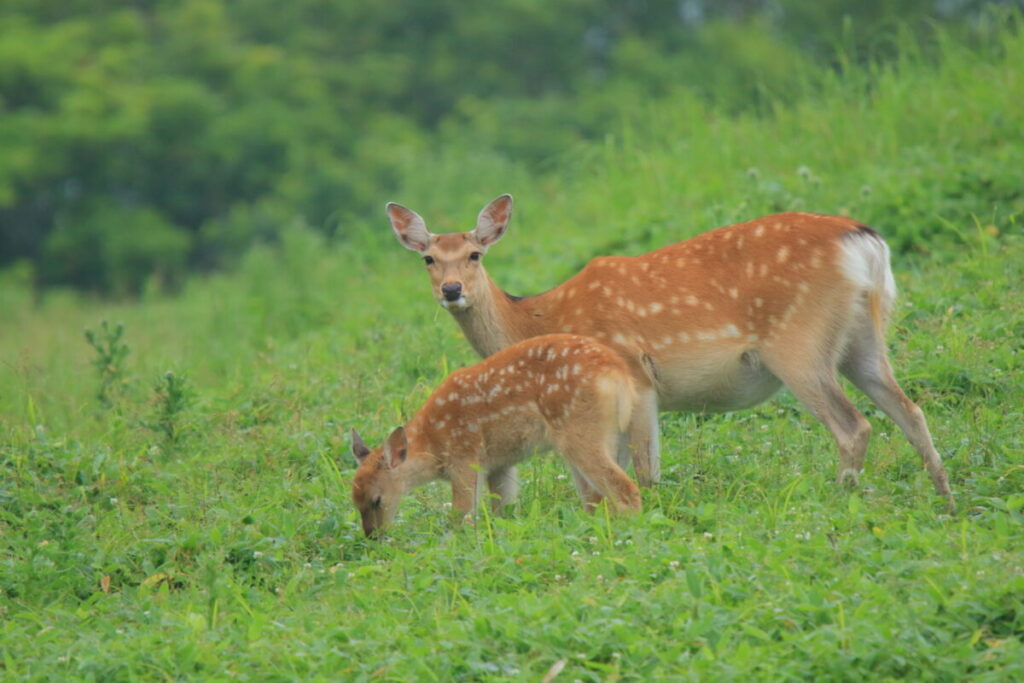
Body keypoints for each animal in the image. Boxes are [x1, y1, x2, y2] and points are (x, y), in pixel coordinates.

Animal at [352, 333, 638, 536]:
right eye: (354, 501)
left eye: (376, 500)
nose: (372, 536)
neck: (432, 444)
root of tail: (618, 372)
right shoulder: (499, 465)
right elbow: (504, 510)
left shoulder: (465, 457)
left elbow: (460, 515)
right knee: (595, 498)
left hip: (579, 432)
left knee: (625, 488)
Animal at [385, 194, 950, 505]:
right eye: (428, 258)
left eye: (475, 254)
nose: (452, 290)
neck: (538, 319)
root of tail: (864, 241)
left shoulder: (631, 373)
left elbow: (638, 469)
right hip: (862, 338)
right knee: (910, 410)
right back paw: (945, 498)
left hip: (798, 342)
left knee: (853, 425)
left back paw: (840, 496)